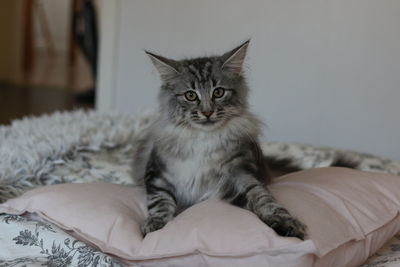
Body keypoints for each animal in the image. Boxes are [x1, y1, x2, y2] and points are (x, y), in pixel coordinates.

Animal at [131, 40, 306, 241]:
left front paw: (284, 221)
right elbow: (160, 201)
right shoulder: (157, 174)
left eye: (219, 92)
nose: (207, 112)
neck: (203, 140)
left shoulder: (240, 173)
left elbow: (263, 197)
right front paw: (156, 224)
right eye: (190, 95)